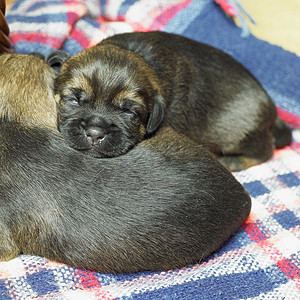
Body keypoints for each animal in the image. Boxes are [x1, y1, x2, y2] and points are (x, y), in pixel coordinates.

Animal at [50, 31, 292, 171]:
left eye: (129, 112)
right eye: (74, 99)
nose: (94, 133)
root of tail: (272, 112)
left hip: (237, 134)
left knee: (266, 149)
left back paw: (233, 161)